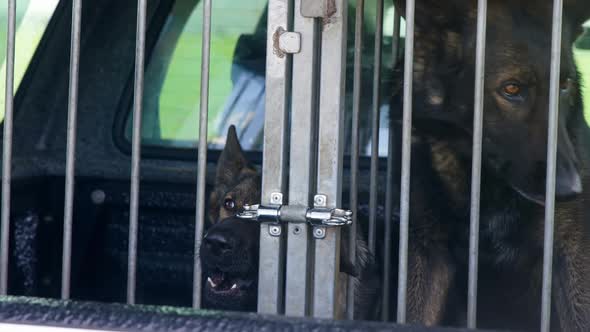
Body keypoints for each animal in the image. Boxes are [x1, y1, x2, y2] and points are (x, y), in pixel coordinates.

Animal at [388, 0, 590, 330]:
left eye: (565, 85)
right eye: (511, 89)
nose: (572, 189)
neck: (486, 178)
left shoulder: (571, 251)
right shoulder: (427, 251)